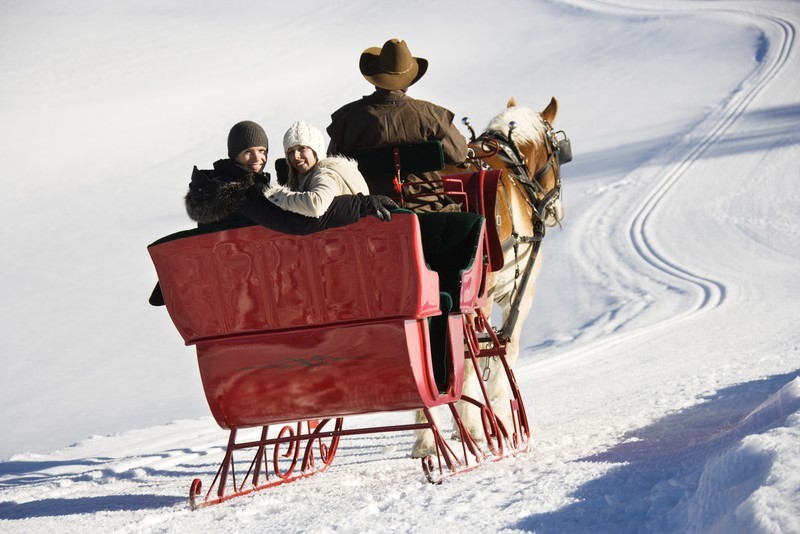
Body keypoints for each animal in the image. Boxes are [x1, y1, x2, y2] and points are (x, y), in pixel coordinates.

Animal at [412, 97, 568, 460]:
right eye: (558, 151)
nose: (557, 211)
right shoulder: (519, 289)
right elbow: (506, 346)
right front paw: (496, 402)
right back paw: (466, 427)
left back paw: (426, 437)